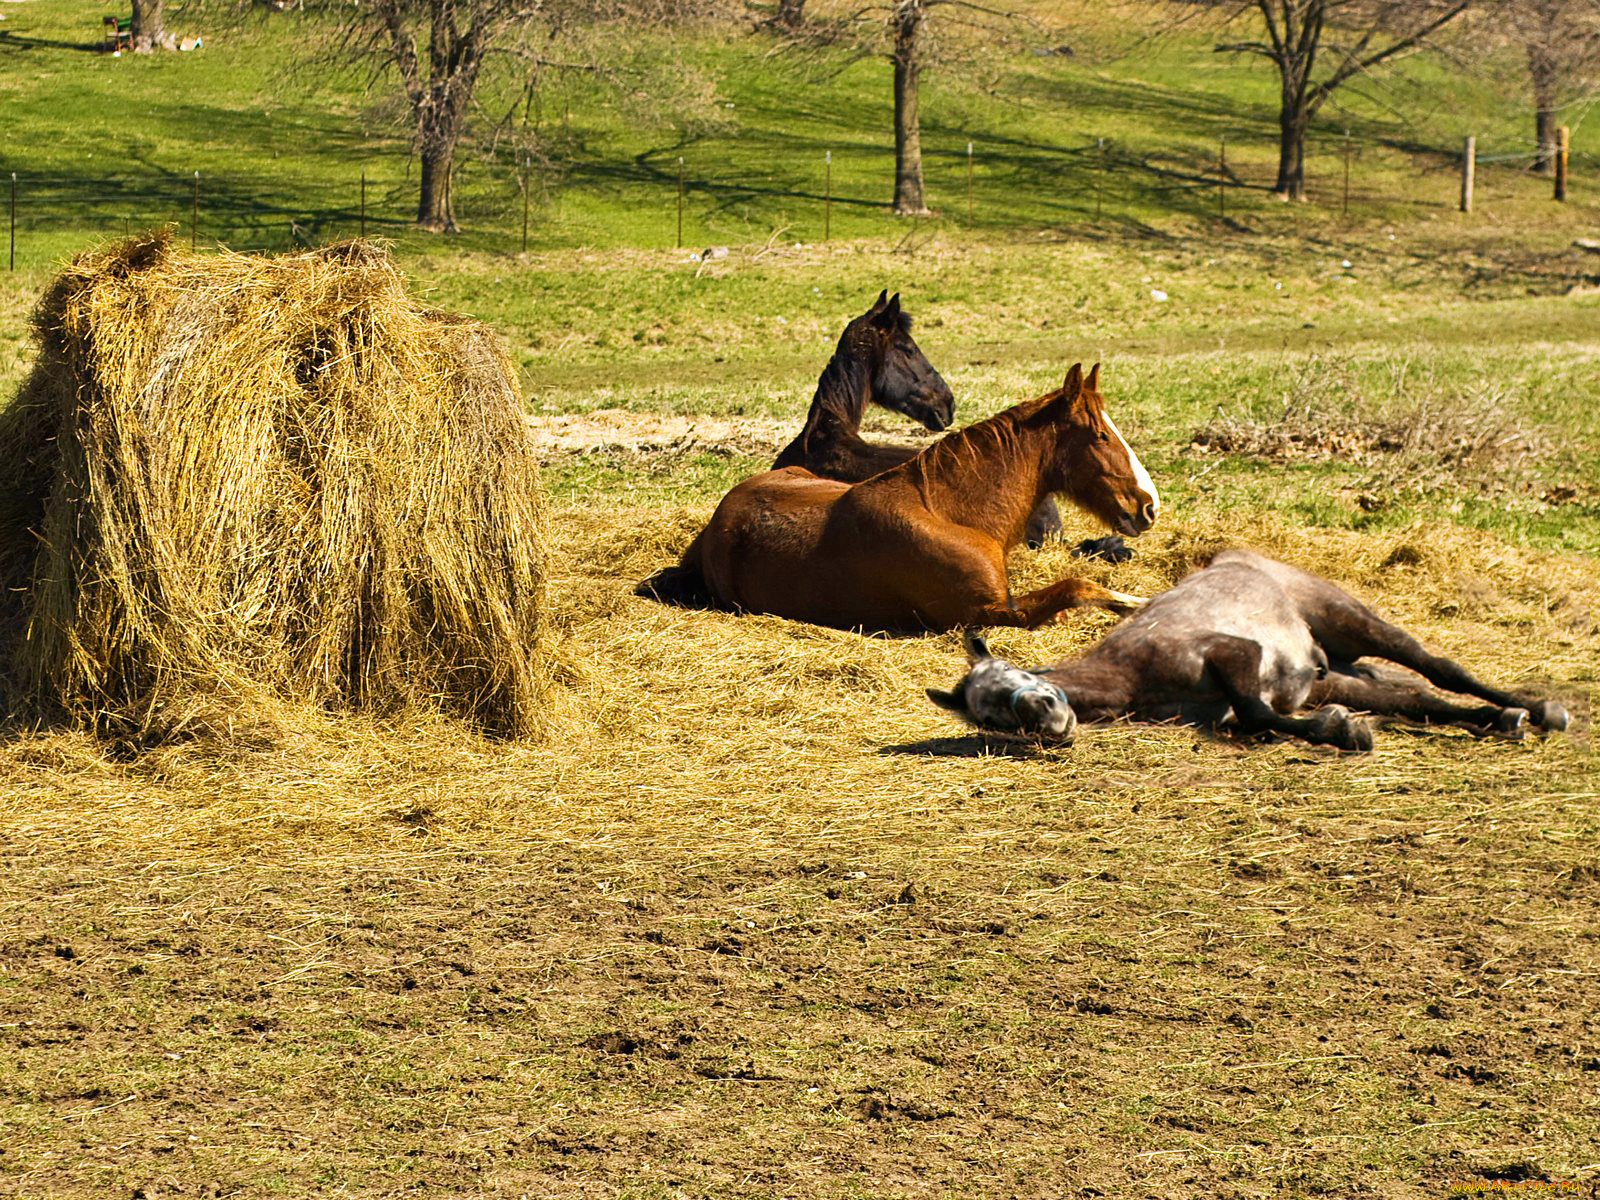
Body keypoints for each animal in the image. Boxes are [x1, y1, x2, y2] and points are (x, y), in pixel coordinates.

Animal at [668, 361, 1158, 633]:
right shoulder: (986, 612)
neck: (949, 513)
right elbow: (1077, 587)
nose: (1148, 505)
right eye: (1100, 435)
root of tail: (717, 521)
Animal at [934, 547, 1568, 752]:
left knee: (1440, 669)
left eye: (1012, 671)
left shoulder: (1232, 652)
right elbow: (1255, 718)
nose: (1045, 712)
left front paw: (1339, 731)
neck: (1128, 674)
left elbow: (1257, 711)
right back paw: (1501, 719)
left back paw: (1540, 709)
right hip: (1334, 672)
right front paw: (1341, 727)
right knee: (1419, 700)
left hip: (1352, 622)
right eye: (990, 715)